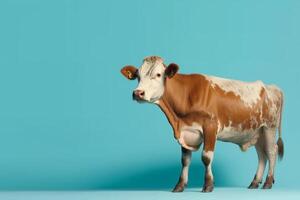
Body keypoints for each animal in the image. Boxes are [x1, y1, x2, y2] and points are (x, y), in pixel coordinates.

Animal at [119, 55, 284, 192]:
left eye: (158, 74)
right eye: (137, 76)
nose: (138, 93)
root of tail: (272, 87)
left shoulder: (210, 126)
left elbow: (206, 157)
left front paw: (208, 185)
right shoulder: (186, 131)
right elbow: (185, 160)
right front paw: (179, 186)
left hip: (269, 127)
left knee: (271, 151)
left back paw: (268, 182)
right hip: (256, 131)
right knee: (262, 154)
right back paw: (255, 183)